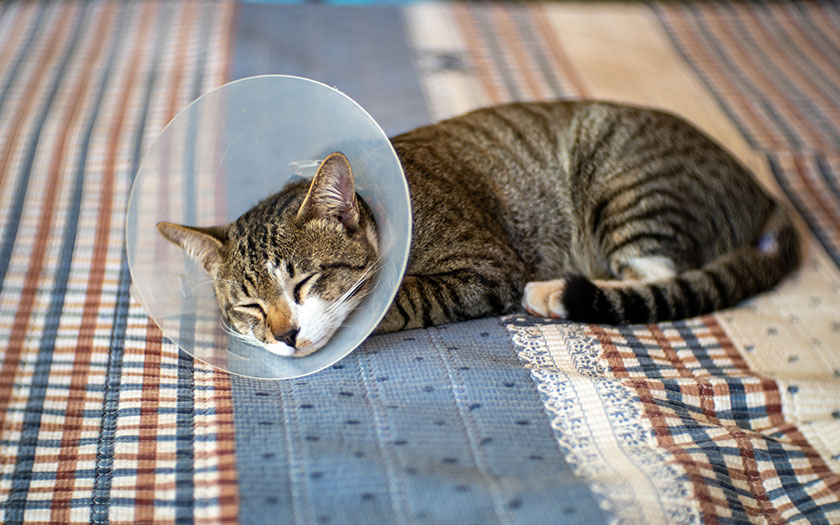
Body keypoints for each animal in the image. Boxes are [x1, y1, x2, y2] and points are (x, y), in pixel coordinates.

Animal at [159, 100, 800, 356]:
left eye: (305, 283)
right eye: (248, 306)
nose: (286, 337)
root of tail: (762, 191)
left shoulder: (487, 266)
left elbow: (410, 294)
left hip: (630, 183)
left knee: (656, 273)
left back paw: (553, 295)